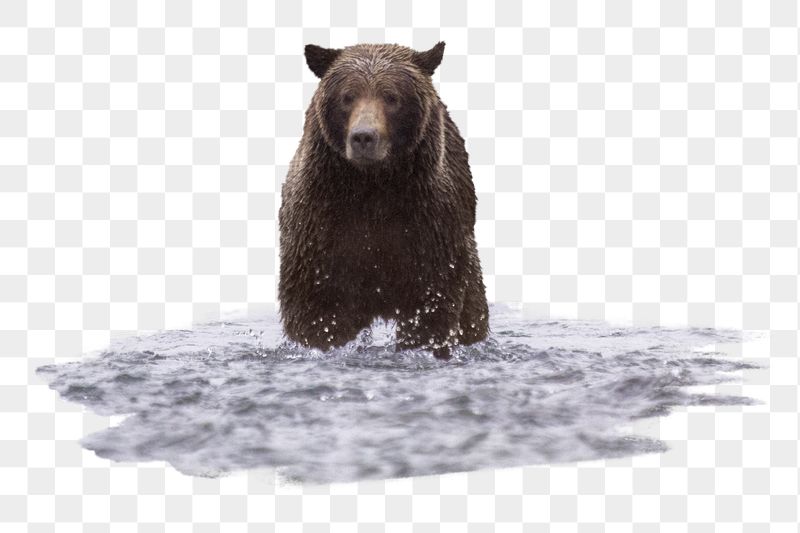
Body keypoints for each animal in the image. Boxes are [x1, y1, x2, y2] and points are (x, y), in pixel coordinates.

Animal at [278, 42, 489, 360]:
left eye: (392, 97)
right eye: (347, 96)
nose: (364, 137)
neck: (373, 186)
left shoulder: (429, 227)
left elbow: (431, 304)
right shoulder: (321, 225)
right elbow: (318, 308)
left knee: (473, 312)